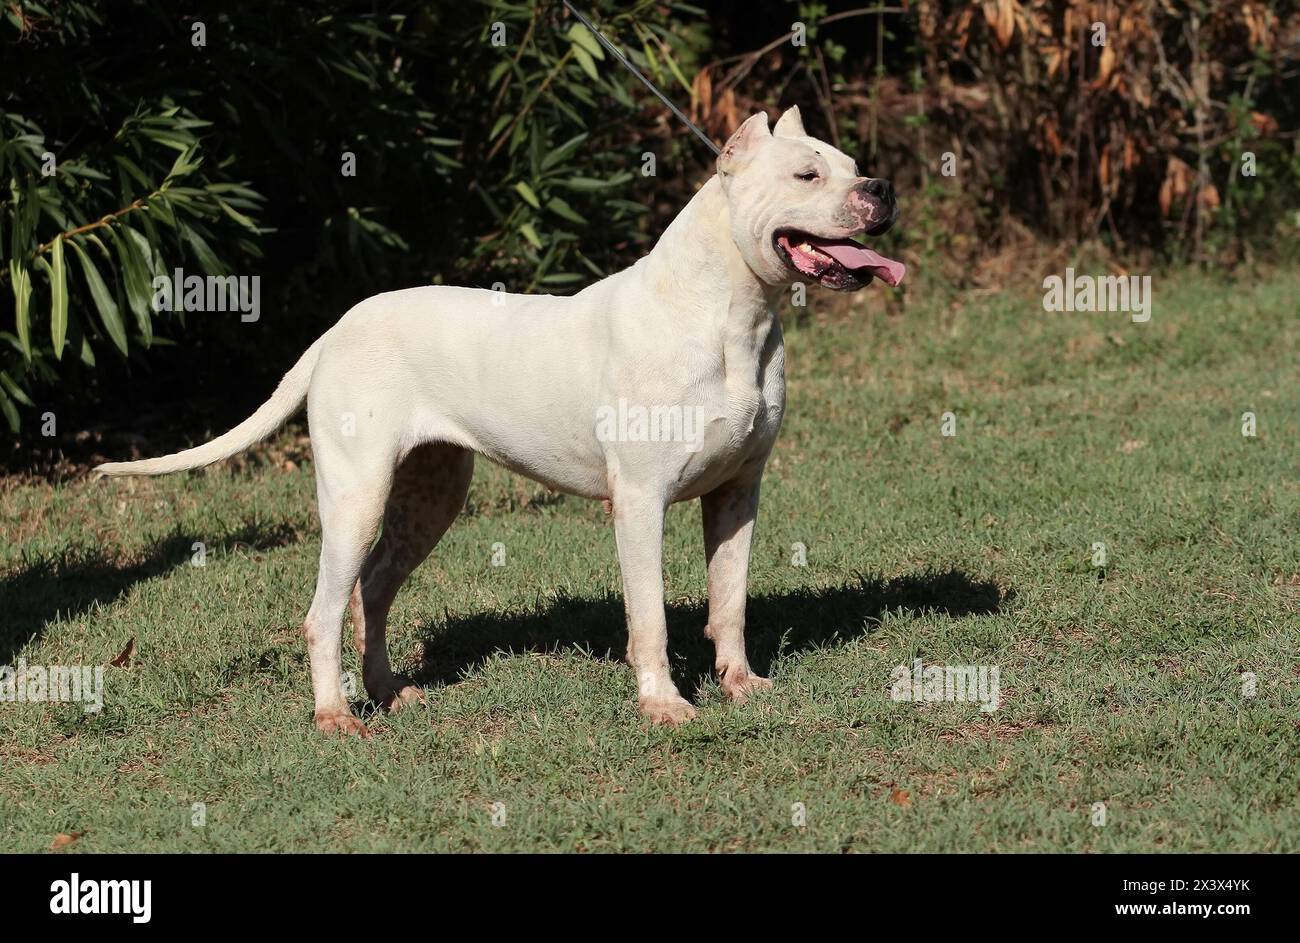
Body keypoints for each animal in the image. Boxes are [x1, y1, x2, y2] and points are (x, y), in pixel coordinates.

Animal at [98, 106, 904, 733]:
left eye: (852, 165)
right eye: (807, 176)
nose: (882, 187)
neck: (730, 314)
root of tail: (334, 331)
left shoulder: (737, 494)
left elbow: (728, 600)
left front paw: (740, 685)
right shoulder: (640, 502)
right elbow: (648, 615)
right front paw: (662, 705)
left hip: (430, 496)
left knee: (373, 591)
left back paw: (389, 693)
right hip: (357, 497)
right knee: (323, 610)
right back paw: (335, 715)